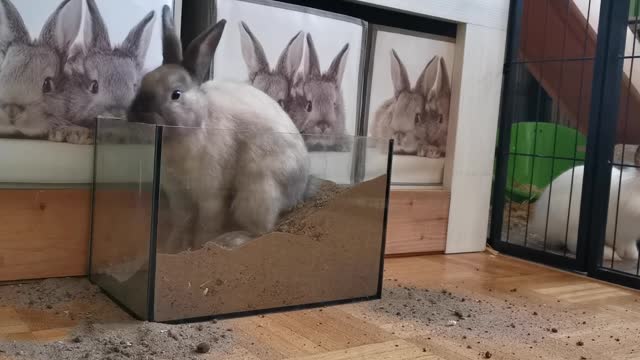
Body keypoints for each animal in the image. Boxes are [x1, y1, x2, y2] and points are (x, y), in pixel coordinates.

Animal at [127, 6, 310, 253]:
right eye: (142, 82)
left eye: (176, 94)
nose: (136, 115)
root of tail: (298, 191)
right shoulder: (178, 195)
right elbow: (182, 221)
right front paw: (172, 247)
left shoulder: (211, 194)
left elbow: (207, 223)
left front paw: (199, 247)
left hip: (258, 191)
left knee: (261, 230)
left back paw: (230, 240)